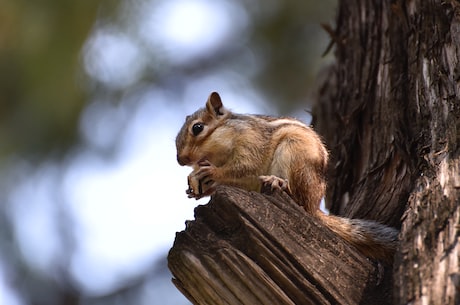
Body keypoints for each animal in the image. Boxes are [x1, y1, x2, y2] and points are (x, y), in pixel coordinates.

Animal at [176, 91, 398, 262]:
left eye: (197, 128)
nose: (180, 160)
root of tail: (314, 206)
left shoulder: (251, 140)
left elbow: (246, 166)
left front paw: (212, 172)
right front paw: (197, 188)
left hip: (294, 152)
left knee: (297, 196)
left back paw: (280, 183)